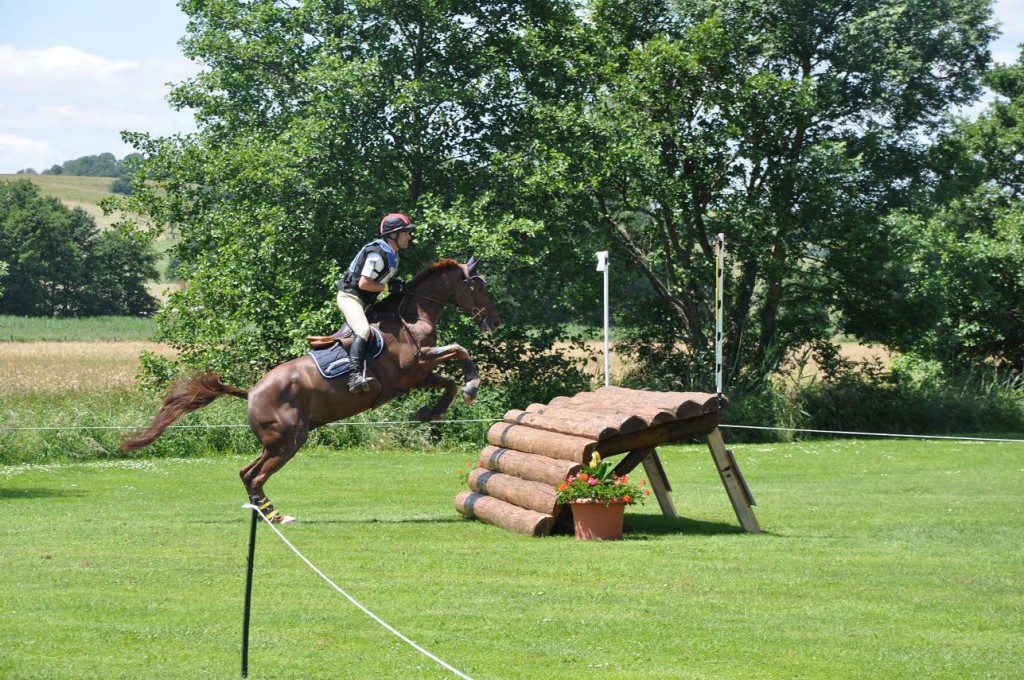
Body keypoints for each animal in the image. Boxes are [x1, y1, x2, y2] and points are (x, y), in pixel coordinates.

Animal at [121, 258, 497, 522]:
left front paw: (433, 410)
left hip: (278, 442)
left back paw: (267, 514)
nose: (494, 322)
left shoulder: (418, 375)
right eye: (479, 287)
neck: (412, 316)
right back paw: (276, 517)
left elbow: (449, 379)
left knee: (247, 473)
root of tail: (251, 392)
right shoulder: (412, 367)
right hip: (288, 440)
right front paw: (472, 384)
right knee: (256, 477)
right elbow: (460, 350)